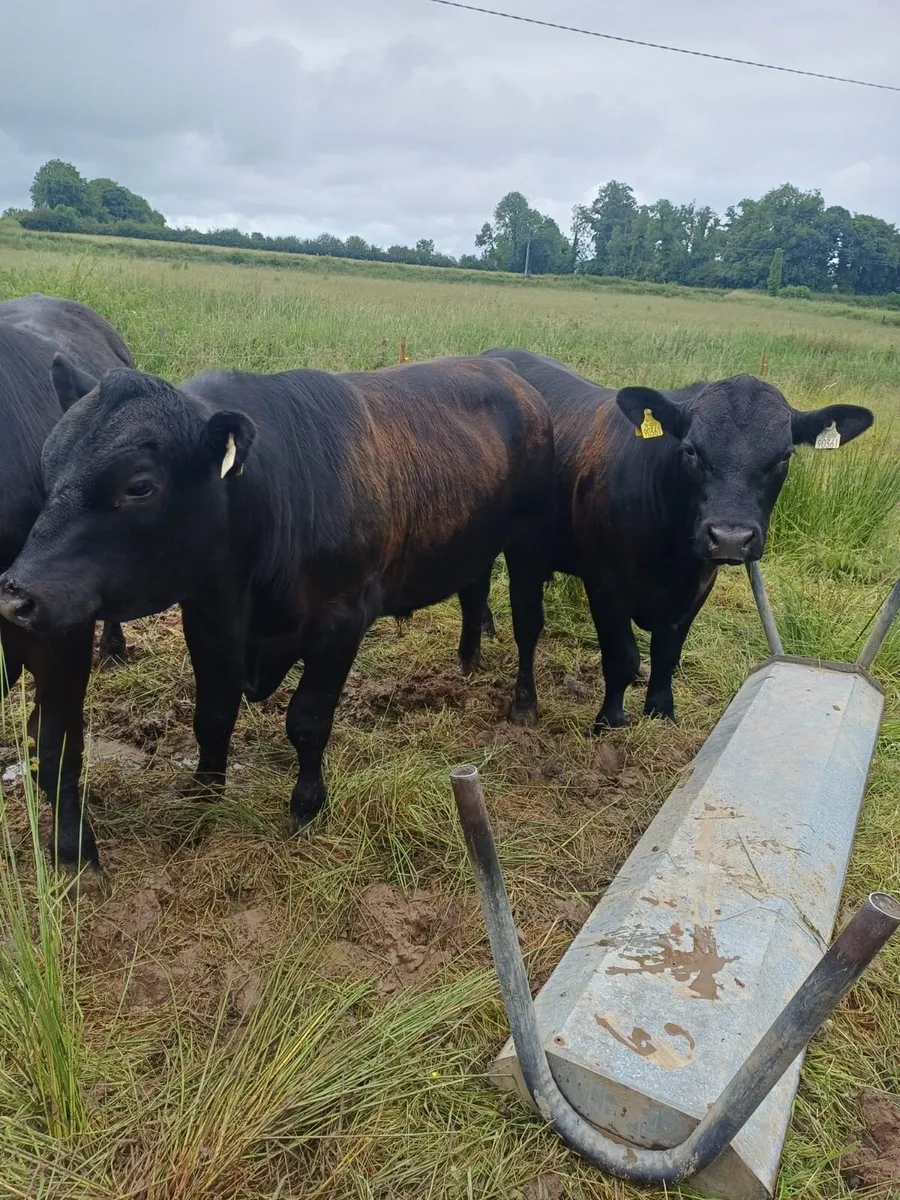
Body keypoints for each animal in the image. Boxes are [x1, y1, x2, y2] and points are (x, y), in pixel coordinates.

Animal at [0, 356, 555, 862]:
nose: (17, 594)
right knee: (473, 589)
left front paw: (306, 806)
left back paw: (523, 703)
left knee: (528, 626)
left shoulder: (341, 621)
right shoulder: (207, 621)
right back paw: (467, 661)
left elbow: (307, 720)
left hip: (528, 543)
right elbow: (212, 716)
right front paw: (204, 794)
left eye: (139, 485)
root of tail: (507, 372)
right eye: (48, 464)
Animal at [480, 348, 874, 730]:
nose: (731, 538)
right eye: (691, 450)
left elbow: (667, 652)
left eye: (784, 456)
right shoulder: (605, 583)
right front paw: (610, 721)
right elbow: (623, 656)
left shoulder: (699, 584)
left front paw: (660, 711)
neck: (672, 554)